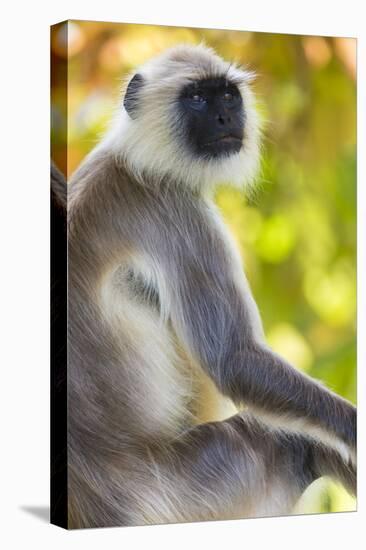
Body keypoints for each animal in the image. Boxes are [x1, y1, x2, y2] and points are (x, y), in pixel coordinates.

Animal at [66, 46, 354, 532]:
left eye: (227, 95)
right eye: (198, 98)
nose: (224, 117)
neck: (135, 160)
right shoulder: (175, 210)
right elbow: (233, 359)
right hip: (193, 488)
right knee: (296, 443)